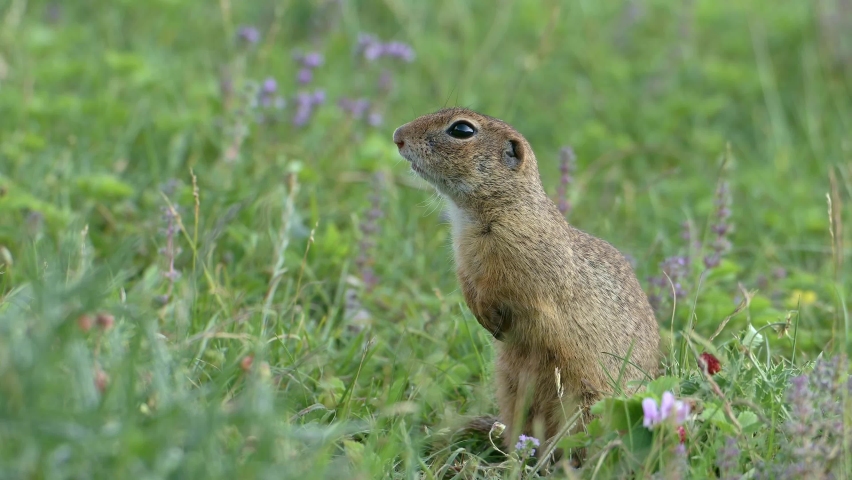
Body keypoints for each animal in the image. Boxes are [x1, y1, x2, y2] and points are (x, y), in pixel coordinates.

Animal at [392, 108, 661, 462]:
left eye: (462, 130)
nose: (397, 136)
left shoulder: (524, 270)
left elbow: (512, 293)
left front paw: (492, 319)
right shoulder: (464, 262)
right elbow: (469, 287)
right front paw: (482, 316)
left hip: (587, 406)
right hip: (511, 391)